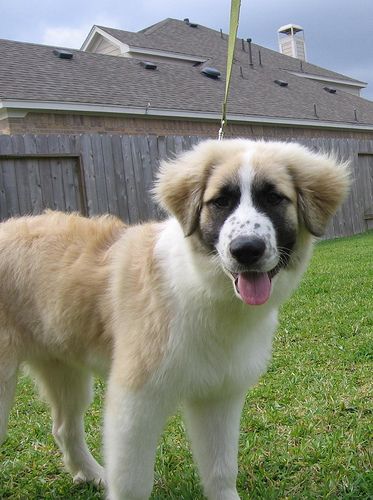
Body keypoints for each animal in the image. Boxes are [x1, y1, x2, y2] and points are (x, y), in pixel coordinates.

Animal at [0, 140, 348, 500]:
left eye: (274, 198)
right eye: (220, 201)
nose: (246, 250)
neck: (202, 287)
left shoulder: (218, 395)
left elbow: (221, 469)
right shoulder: (136, 401)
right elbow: (133, 482)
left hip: (65, 369)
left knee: (63, 428)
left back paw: (92, 474)